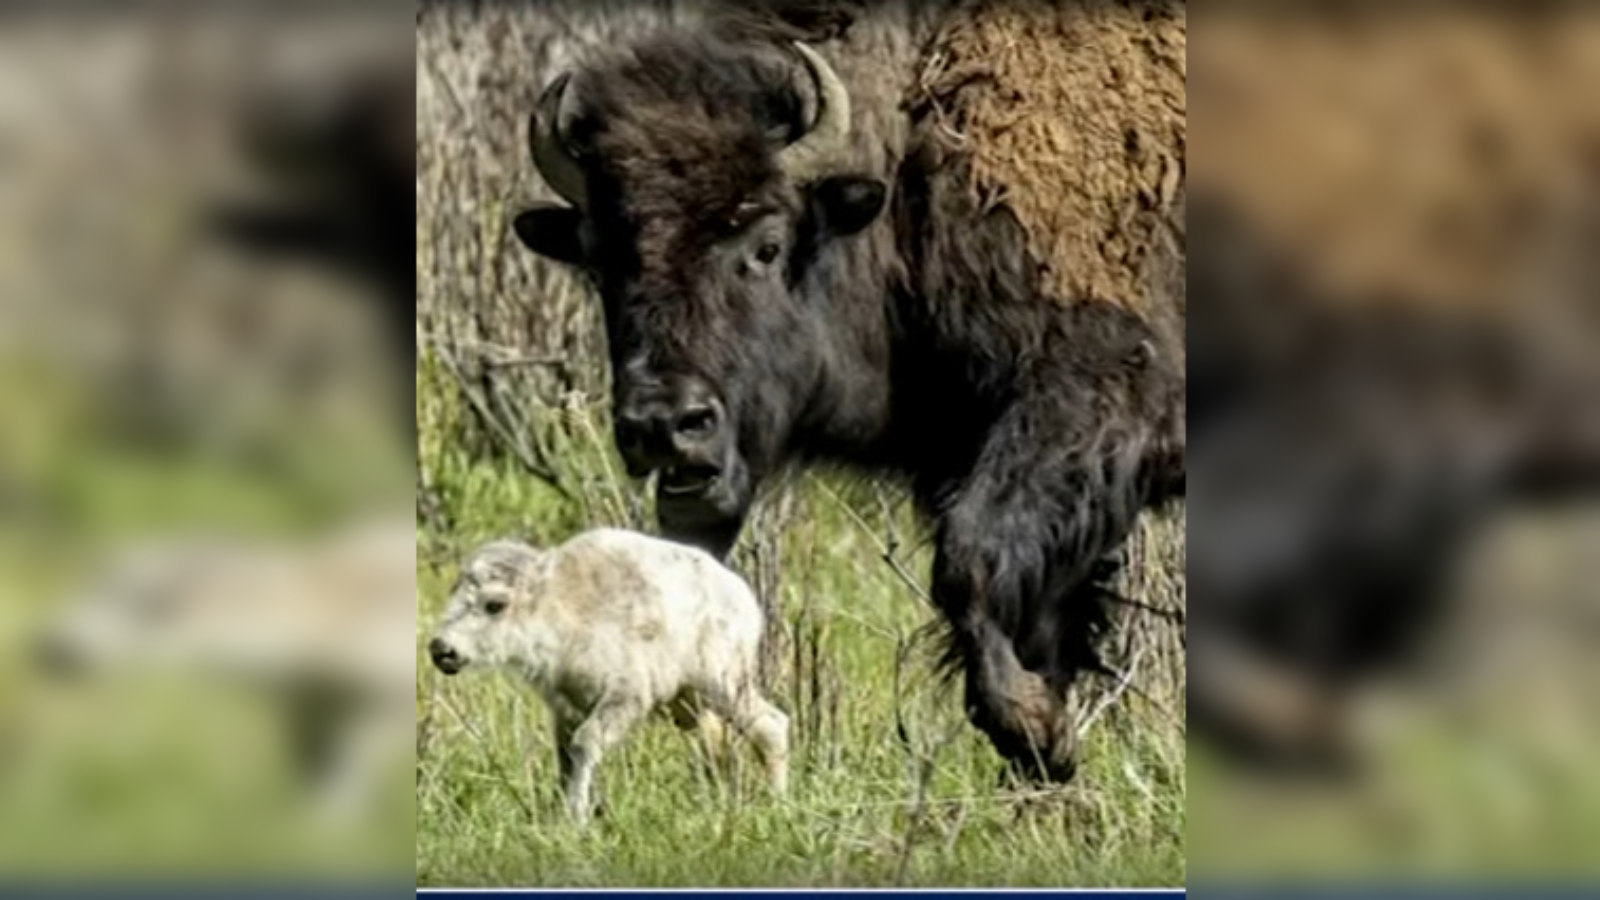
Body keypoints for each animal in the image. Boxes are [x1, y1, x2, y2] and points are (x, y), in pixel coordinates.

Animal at [428, 525, 790, 819]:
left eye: (495, 605)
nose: (442, 649)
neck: (561, 607)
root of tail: (742, 596)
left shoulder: (624, 696)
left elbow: (584, 745)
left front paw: (575, 815)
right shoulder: (565, 707)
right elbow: (564, 757)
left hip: (722, 683)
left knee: (770, 725)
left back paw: (777, 804)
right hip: (690, 703)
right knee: (715, 745)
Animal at [505, 1, 1184, 778]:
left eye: (767, 246)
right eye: (598, 262)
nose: (664, 424)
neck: (914, 163)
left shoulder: (1095, 402)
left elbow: (969, 561)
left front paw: (1031, 726)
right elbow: (1033, 617)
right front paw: (1046, 749)